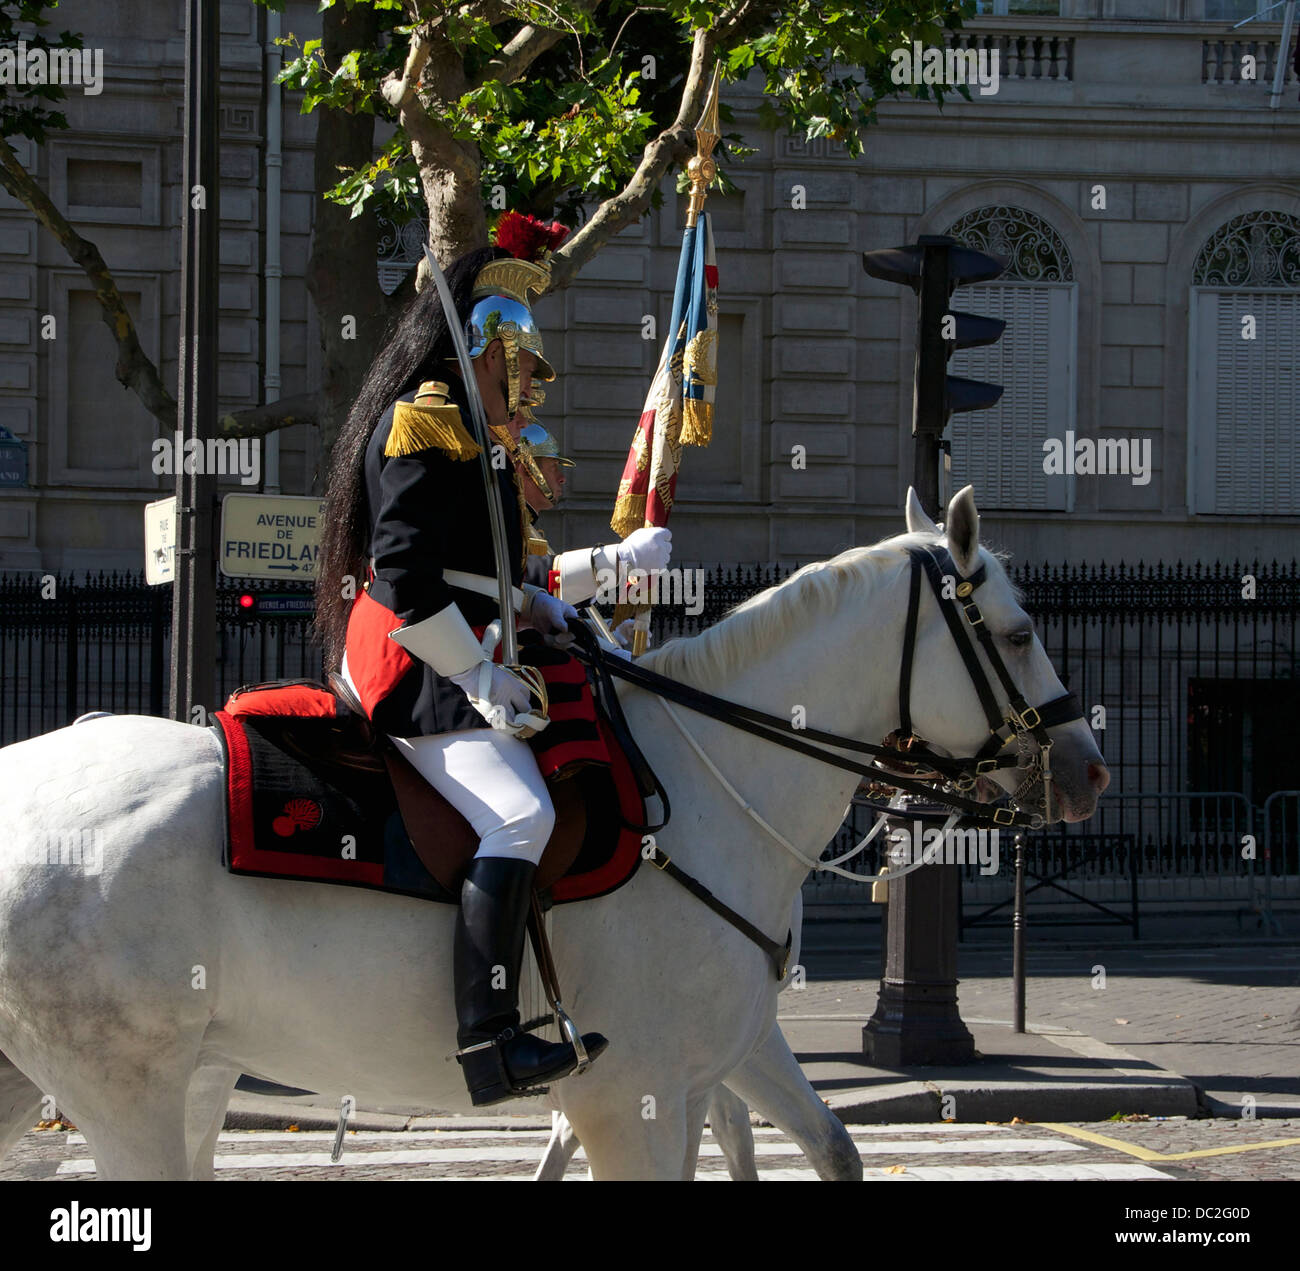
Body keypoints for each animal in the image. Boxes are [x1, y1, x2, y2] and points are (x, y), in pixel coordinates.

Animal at [0, 488, 1107, 1180]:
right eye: (1017, 632)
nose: (1090, 766)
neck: (709, 779)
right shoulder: (637, 1094)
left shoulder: (721, 1055)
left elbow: (825, 1144)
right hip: (128, 1089)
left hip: (178, 1074)